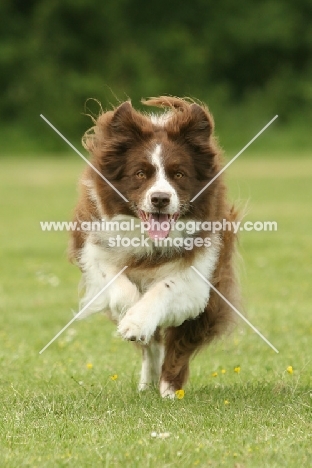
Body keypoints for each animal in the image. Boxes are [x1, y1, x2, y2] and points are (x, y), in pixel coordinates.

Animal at [69, 97, 239, 396]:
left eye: (179, 174)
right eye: (140, 174)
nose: (160, 199)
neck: (150, 239)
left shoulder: (199, 272)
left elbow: (166, 288)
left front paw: (136, 320)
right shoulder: (95, 248)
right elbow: (117, 281)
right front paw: (131, 315)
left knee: (180, 344)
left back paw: (169, 388)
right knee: (154, 346)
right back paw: (147, 382)